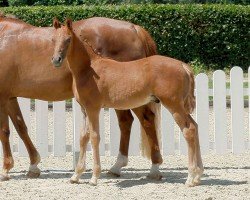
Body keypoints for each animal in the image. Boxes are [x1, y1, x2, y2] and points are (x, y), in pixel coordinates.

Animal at [0, 13, 162, 180]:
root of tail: (135, 29)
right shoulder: (9, 97)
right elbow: (21, 127)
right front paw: (33, 165)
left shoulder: (2, 98)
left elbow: (4, 131)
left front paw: (6, 169)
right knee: (126, 121)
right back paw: (117, 166)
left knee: (147, 120)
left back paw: (154, 169)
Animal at [51, 19, 204, 187]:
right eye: (53, 40)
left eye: (68, 39)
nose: (56, 60)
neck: (89, 69)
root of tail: (183, 66)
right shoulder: (84, 110)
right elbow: (83, 138)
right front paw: (76, 175)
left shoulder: (93, 109)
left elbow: (95, 137)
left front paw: (94, 177)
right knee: (195, 126)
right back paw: (198, 176)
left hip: (174, 106)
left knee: (189, 130)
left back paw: (190, 177)